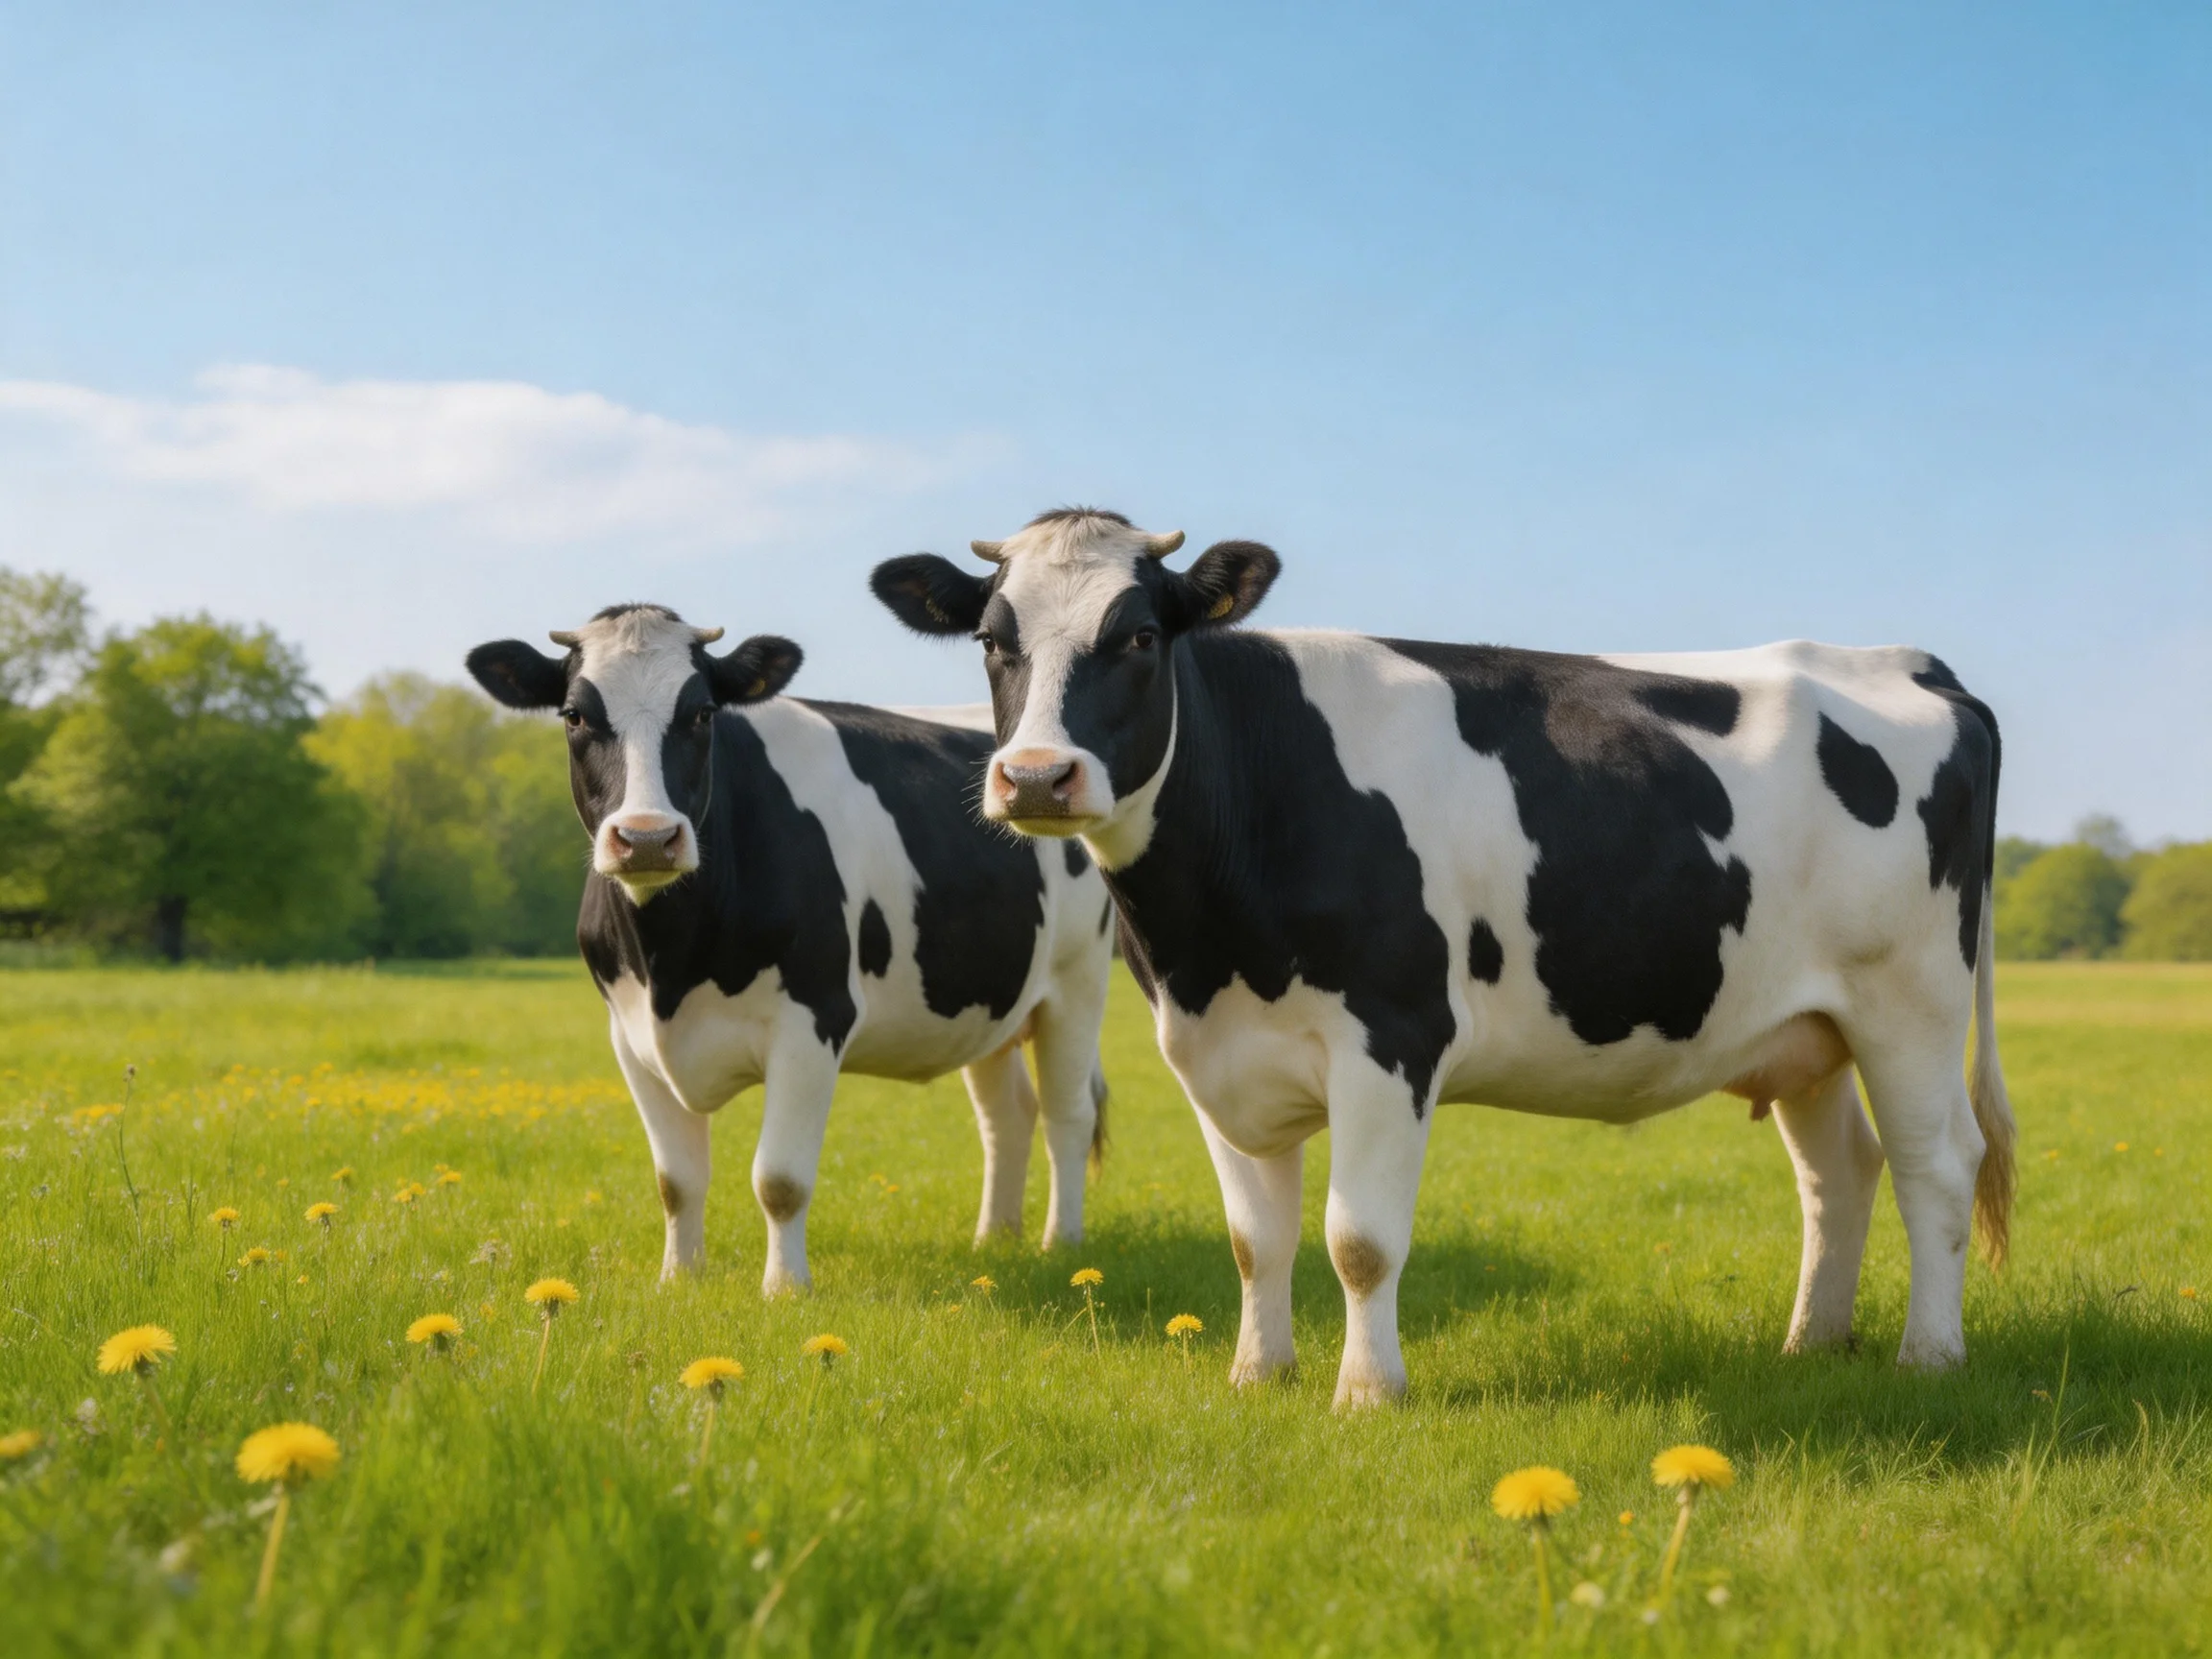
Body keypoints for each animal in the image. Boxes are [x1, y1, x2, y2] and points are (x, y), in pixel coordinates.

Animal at [466, 603, 1115, 1295]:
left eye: (703, 713)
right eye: (574, 715)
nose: (645, 838)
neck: (671, 963)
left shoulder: (815, 1018)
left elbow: (779, 1179)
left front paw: (784, 1289)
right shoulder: (630, 1035)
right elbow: (676, 1181)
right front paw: (679, 1279)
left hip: (1078, 982)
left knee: (1068, 1113)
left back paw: (1060, 1243)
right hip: (990, 1001)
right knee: (1008, 1115)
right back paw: (994, 1239)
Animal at [872, 508, 2016, 1409]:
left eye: (1142, 635)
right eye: (992, 640)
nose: (1036, 776)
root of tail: (1908, 662)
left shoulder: (1391, 1037)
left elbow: (1359, 1239)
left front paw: (1367, 1393)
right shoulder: (1213, 1055)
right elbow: (1256, 1239)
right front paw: (1258, 1375)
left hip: (1911, 1001)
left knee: (1937, 1164)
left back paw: (1929, 1356)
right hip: (1804, 1024)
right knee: (1841, 1171)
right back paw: (1812, 1343)